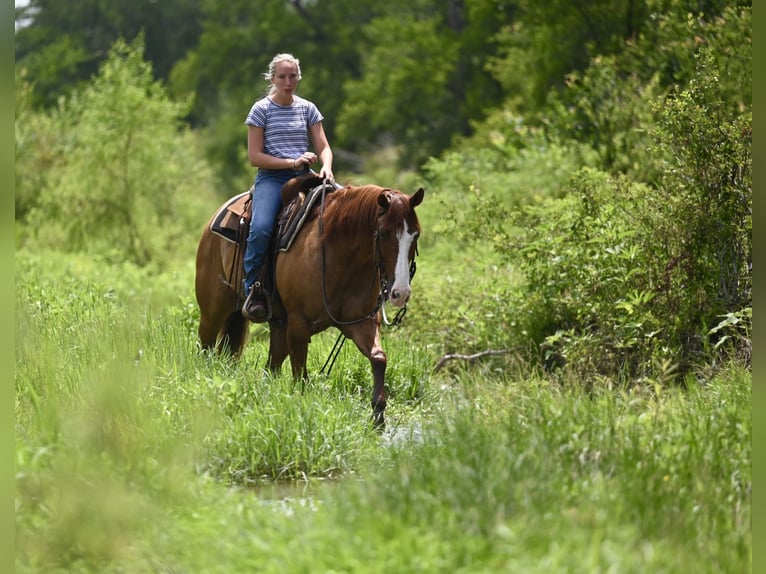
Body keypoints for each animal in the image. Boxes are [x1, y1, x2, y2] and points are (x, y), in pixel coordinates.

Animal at [195, 172, 425, 428]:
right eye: (383, 233)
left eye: (415, 234)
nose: (400, 292)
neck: (338, 252)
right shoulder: (298, 325)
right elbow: (300, 378)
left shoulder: (360, 323)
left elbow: (379, 358)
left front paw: (378, 416)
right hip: (213, 312)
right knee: (205, 346)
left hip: (278, 325)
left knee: (271, 366)